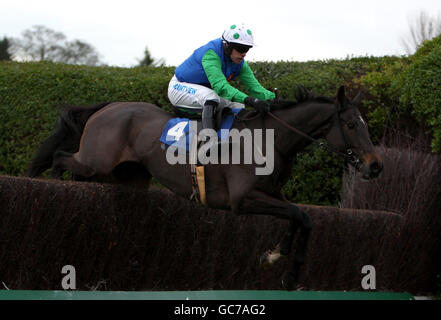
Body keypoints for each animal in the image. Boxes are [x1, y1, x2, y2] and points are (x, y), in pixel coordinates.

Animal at [25, 85, 382, 290]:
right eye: (352, 125)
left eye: (363, 123)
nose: (375, 165)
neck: (270, 140)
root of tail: (109, 108)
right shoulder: (242, 199)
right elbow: (298, 214)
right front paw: (285, 266)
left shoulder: (272, 194)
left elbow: (302, 218)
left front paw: (278, 259)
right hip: (95, 162)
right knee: (59, 158)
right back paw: (52, 187)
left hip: (124, 176)